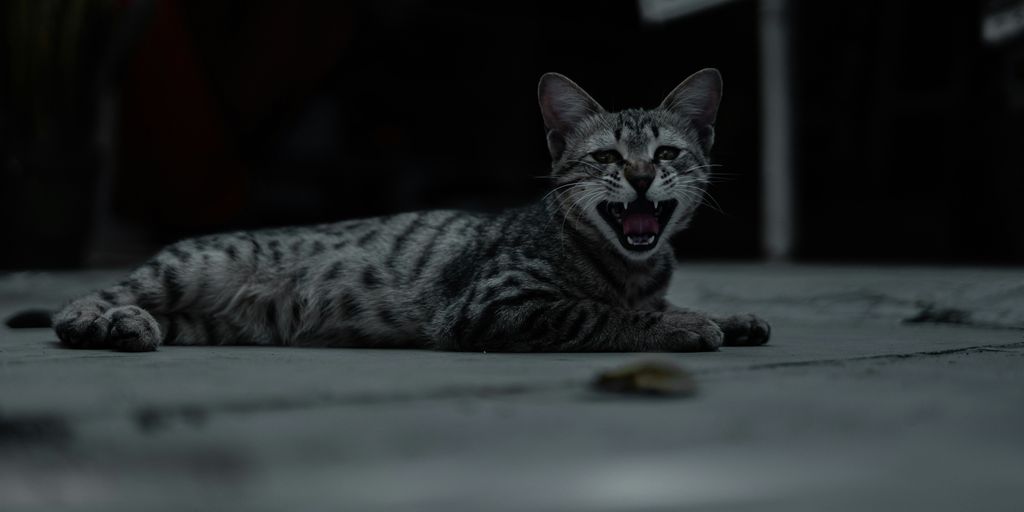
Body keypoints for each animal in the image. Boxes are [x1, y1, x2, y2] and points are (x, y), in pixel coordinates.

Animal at [49, 70, 770, 352]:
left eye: (667, 153)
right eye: (607, 159)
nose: (643, 177)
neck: (628, 268)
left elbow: (648, 305)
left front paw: (726, 316)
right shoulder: (496, 306)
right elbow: (601, 315)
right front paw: (681, 327)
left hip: (215, 323)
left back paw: (127, 328)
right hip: (193, 268)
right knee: (86, 300)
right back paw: (99, 320)